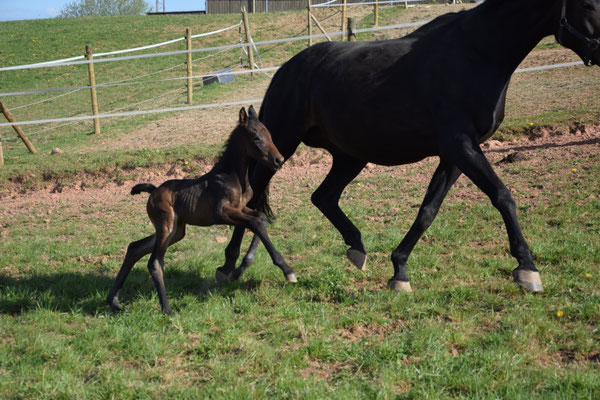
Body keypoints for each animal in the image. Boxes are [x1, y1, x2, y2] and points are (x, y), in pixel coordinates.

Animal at [216, 0, 600, 294]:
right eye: (587, 4)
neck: (476, 53)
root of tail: (287, 68)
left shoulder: (455, 155)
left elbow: (428, 211)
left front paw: (399, 270)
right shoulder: (461, 146)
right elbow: (503, 196)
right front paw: (527, 269)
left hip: (350, 155)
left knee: (322, 197)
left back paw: (355, 248)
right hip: (281, 145)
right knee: (254, 197)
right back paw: (231, 264)